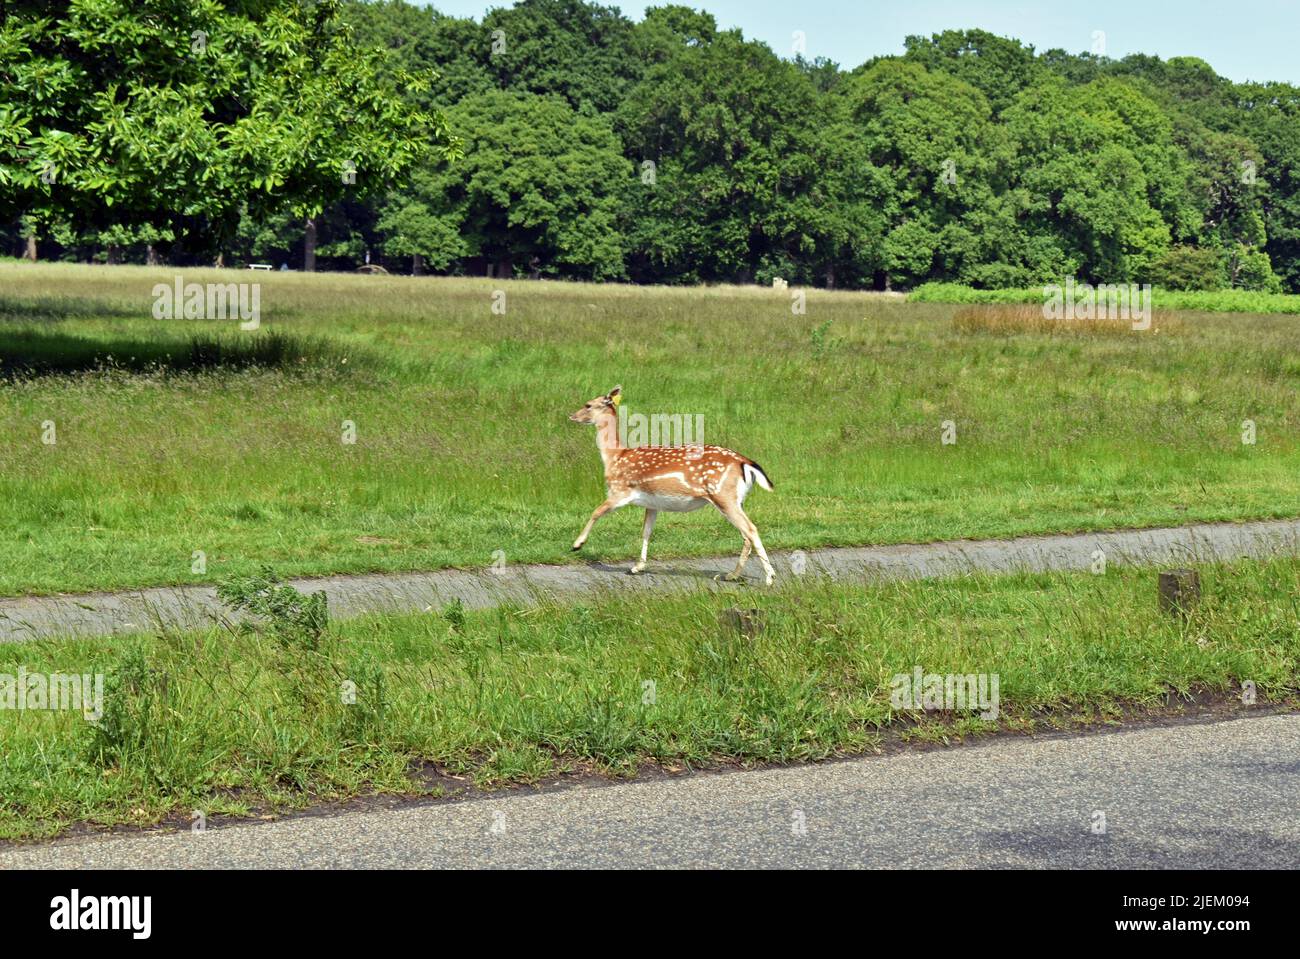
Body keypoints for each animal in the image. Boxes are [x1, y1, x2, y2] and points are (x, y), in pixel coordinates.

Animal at [568, 386, 776, 585]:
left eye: (588, 405)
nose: (571, 415)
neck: (615, 457)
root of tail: (745, 462)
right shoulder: (651, 503)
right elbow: (646, 531)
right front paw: (637, 567)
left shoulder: (621, 491)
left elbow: (596, 512)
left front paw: (577, 544)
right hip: (736, 499)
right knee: (746, 535)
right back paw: (731, 575)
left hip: (722, 495)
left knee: (751, 530)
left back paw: (769, 578)